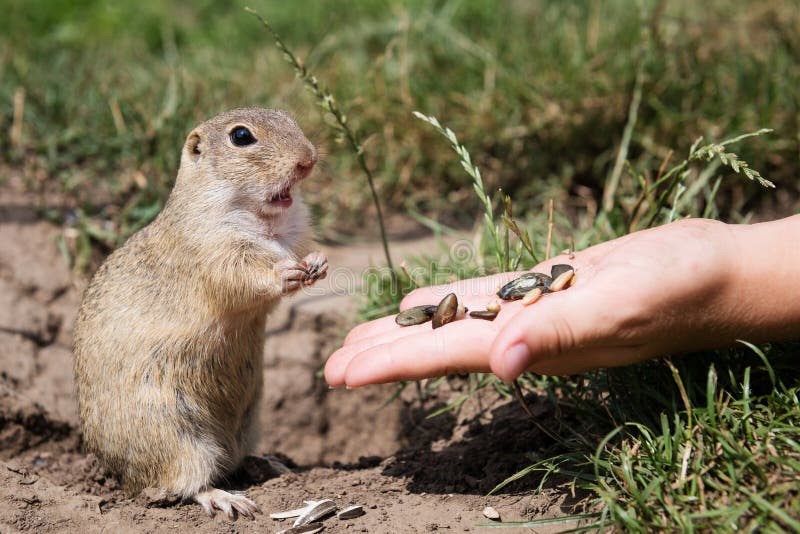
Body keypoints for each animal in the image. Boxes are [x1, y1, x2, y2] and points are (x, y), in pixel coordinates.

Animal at [72, 107, 328, 520]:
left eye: (287, 117)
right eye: (241, 136)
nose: (309, 159)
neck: (265, 221)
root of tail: (120, 477)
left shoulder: (294, 233)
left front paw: (318, 262)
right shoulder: (212, 248)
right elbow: (242, 276)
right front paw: (285, 272)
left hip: (246, 426)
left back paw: (270, 463)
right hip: (177, 437)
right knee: (185, 483)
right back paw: (226, 498)